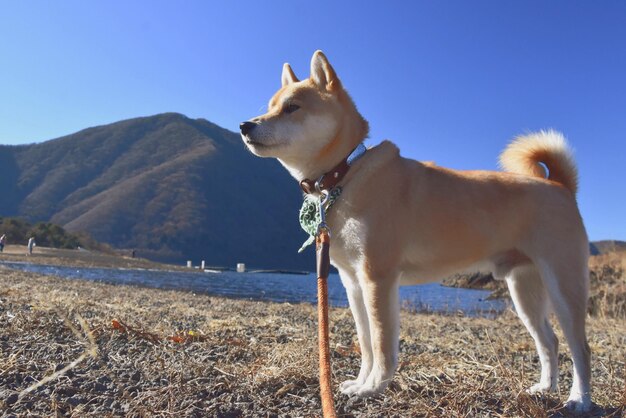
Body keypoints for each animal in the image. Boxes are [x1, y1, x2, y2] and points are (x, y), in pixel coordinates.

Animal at [238, 50, 588, 414]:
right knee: (550, 341)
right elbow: (366, 343)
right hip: (524, 291)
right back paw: (544, 389)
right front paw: (361, 383)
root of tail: (559, 185)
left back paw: (579, 399)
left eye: (292, 107)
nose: (245, 125)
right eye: (269, 106)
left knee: (580, 348)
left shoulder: (378, 278)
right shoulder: (353, 283)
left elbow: (382, 344)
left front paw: (373, 388)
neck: (346, 175)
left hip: (564, 285)